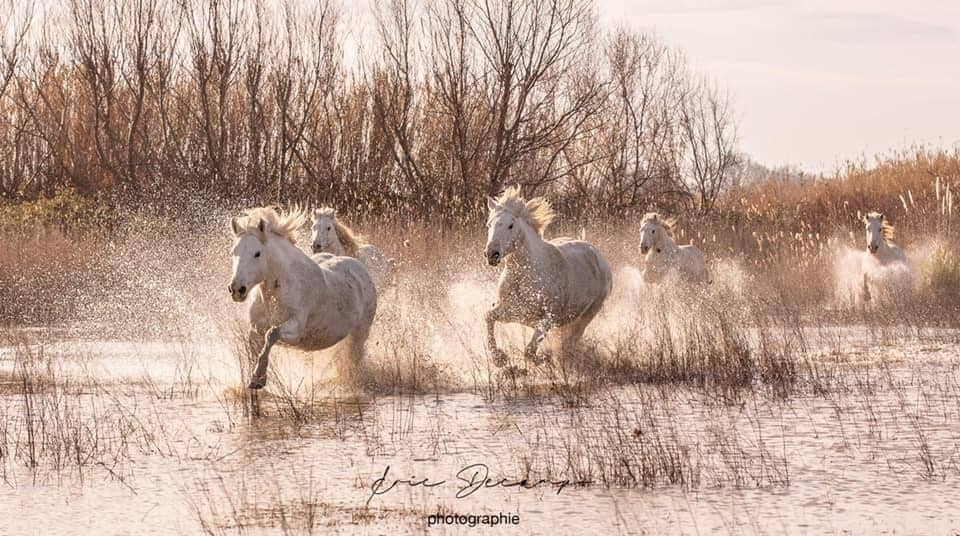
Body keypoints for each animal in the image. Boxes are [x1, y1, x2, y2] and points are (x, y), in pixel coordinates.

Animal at [228, 206, 376, 390]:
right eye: (233, 252)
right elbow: (255, 348)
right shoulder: (255, 330)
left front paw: (258, 378)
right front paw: (254, 378)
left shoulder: (295, 330)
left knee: (354, 357)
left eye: (257, 253)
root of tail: (360, 268)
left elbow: (272, 334)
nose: (236, 289)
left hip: (360, 333)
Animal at [484, 184, 612, 364]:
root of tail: (598, 254)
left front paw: (544, 358)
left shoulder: (548, 318)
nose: (491, 254)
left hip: (590, 312)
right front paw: (499, 358)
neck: (524, 278)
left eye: (510, 225)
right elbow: (488, 316)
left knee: (572, 339)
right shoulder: (514, 312)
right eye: (488, 225)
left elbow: (530, 351)